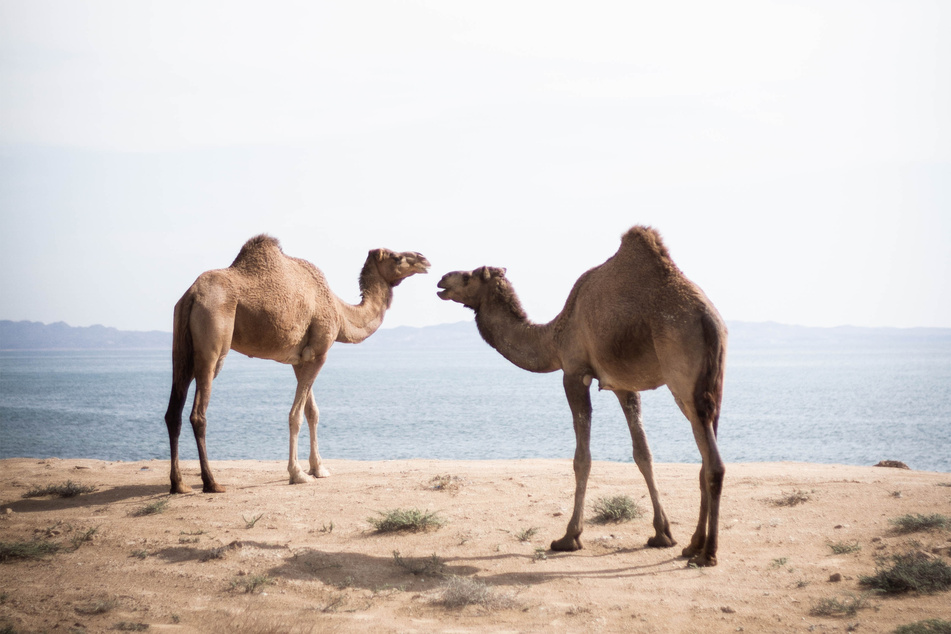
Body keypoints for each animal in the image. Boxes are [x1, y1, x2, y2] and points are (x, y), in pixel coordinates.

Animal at [164, 235, 430, 494]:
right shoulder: (319, 353)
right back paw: (211, 483)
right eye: (396, 257)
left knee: (173, 412)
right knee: (198, 414)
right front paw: (298, 474)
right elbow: (296, 415)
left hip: (182, 347)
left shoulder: (301, 359)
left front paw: (319, 468)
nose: (423, 258)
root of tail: (192, 295)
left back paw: (179, 485)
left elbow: (312, 412)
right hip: (213, 344)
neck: (339, 312)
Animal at [436, 226, 727, 566]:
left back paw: (708, 553)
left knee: (714, 464)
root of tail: (709, 321)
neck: (553, 336)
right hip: (712, 386)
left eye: (468, 276)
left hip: (682, 379)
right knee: (706, 456)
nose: (442, 280)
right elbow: (643, 453)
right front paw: (662, 534)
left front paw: (569, 537)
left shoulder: (575, 372)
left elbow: (582, 458)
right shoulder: (623, 384)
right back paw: (692, 545)